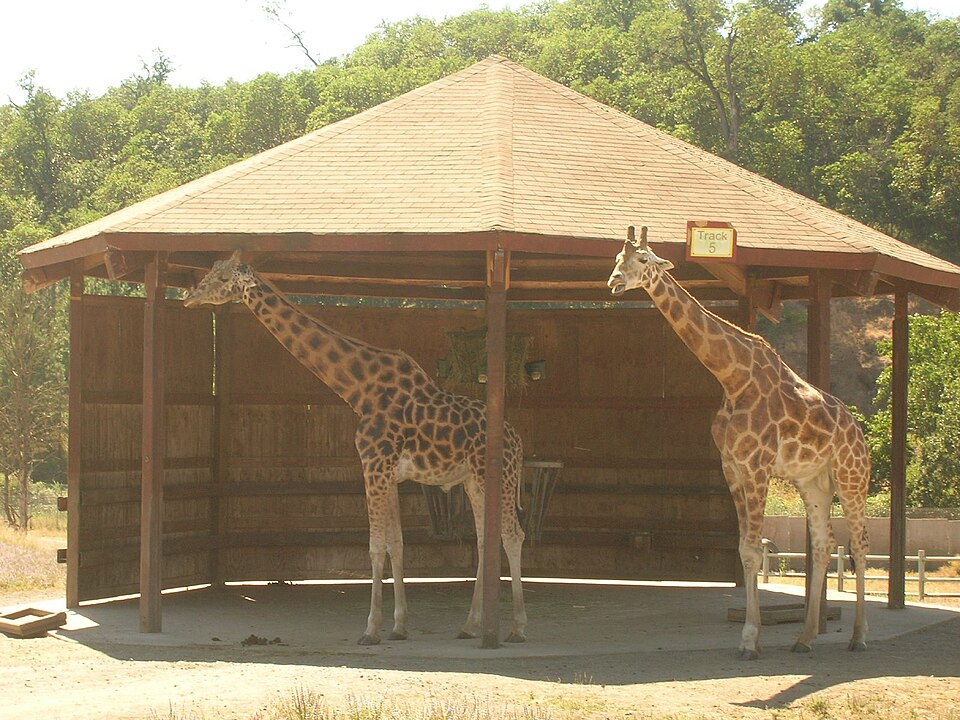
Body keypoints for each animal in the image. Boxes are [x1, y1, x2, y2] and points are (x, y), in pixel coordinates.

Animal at [183, 251, 527, 645]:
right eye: (210, 271)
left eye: (224, 278)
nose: (190, 296)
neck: (359, 390)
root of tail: (518, 441)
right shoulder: (388, 472)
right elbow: (396, 543)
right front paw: (399, 626)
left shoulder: (373, 463)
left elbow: (375, 546)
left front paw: (371, 629)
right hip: (473, 480)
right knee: (487, 539)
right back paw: (469, 625)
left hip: (498, 476)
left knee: (512, 534)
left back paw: (516, 628)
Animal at [606, 228, 869, 659]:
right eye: (616, 258)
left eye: (643, 260)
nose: (613, 282)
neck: (732, 378)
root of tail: (858, 431)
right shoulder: (731, 466)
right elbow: (746, 550)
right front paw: (751, 636)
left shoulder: (758, 466)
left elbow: (752, 547)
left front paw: (749, 639)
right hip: (813, 481)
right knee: (823, 543)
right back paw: (805, 638)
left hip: (851, 477)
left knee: (860, 542)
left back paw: (859, 636)